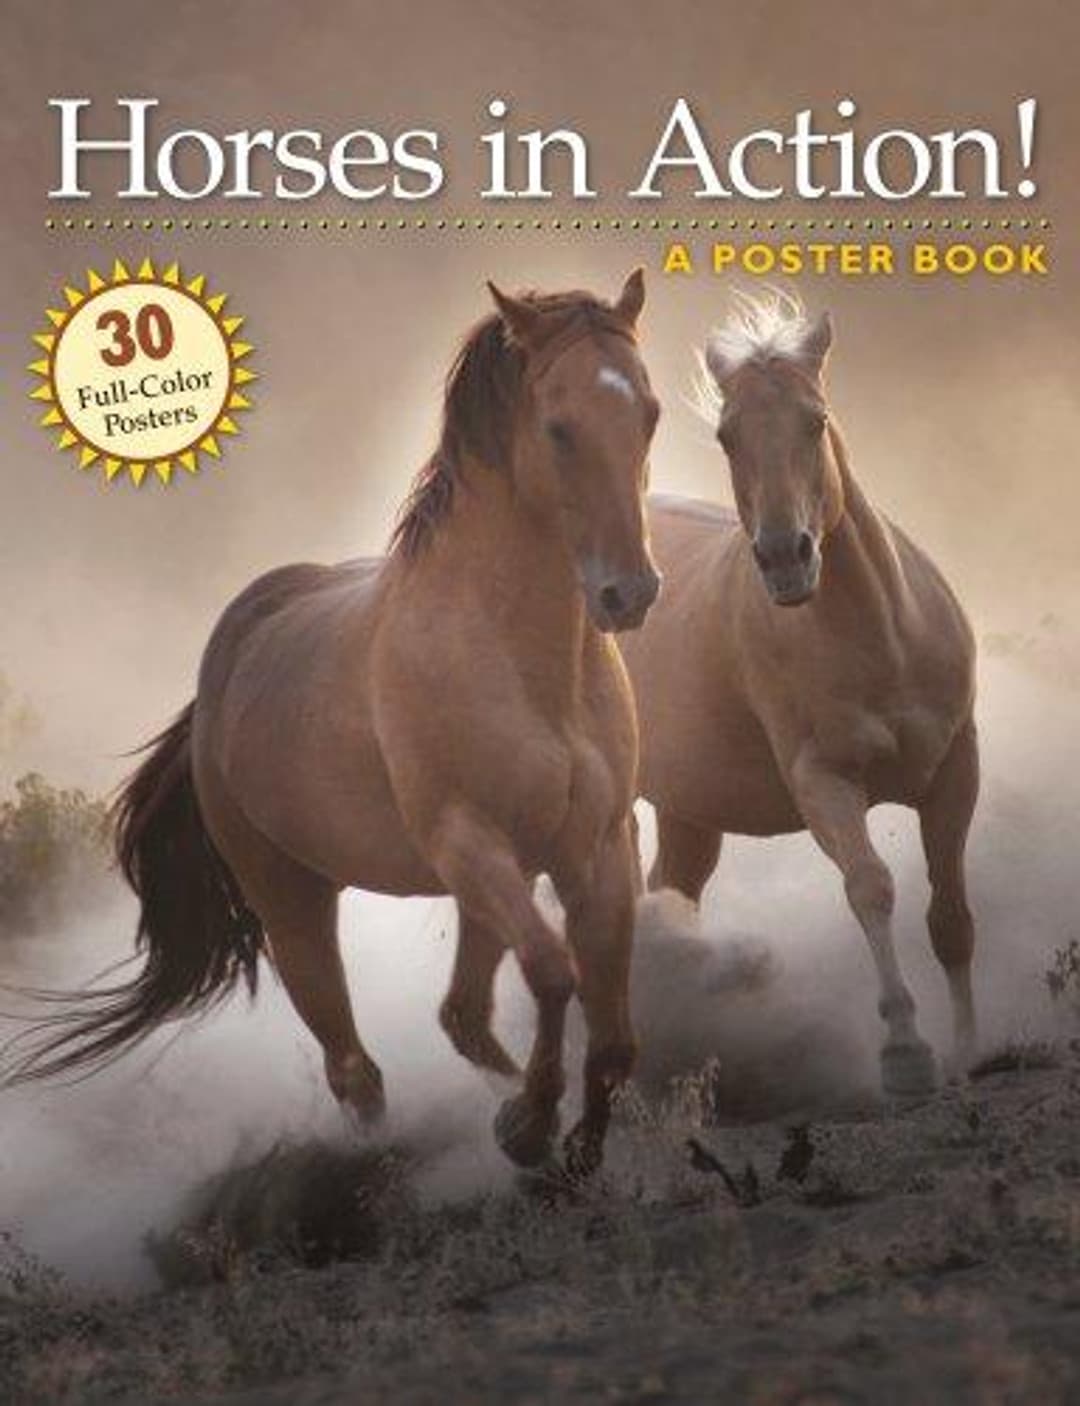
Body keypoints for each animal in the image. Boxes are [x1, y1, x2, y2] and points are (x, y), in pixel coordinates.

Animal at [7, 272, 662, 1174]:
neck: (529, 667)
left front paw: (577, 1149)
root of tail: (223, 671)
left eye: (650, 413)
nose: (628, 593)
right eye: (559, 427)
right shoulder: (467, 841)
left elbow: (615, 1038)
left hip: (480, 887)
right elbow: (554, 972)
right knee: (355, 1067)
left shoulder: (595, 849)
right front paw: (528, 1128)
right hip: (296, 902)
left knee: (460, 1017)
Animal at [619, 294, 979, 1097]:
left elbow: (949, 913)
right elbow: (870, 886)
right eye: (727, 436)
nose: (786, 558)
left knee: (669, 895)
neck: (880, 640)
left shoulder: (953, 769)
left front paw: (972, 1051)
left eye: (815, 420)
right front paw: (905, 1052)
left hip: (689, 812)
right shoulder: (824, 782)